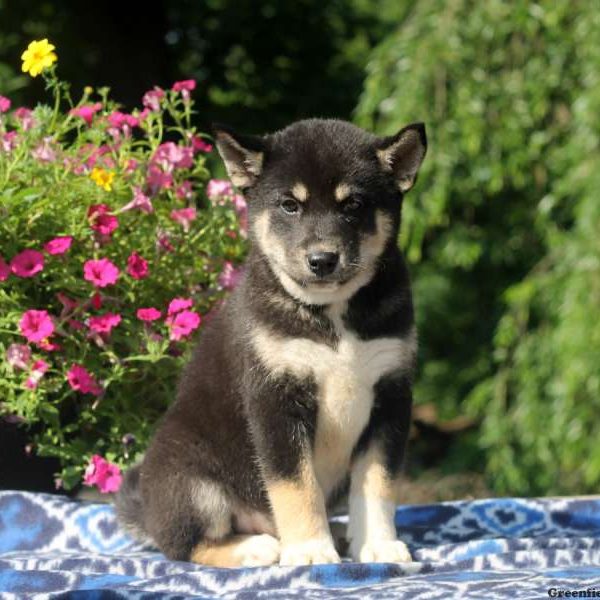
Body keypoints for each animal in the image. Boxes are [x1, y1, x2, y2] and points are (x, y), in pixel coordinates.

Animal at [116, 117, 426, 568]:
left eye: (353, 204)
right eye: (289, 205)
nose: (322, 260)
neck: (331, 313)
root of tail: (147, 510)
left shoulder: (390, 395)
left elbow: (377, 484)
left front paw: (379, 544)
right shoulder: (275, 399)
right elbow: (296, 486)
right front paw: (311, 550)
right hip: (190, 478)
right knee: (185, 544)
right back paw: (258, 547)